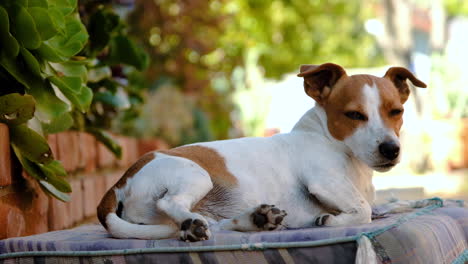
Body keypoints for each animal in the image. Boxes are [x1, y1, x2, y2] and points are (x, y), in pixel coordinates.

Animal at [97, 62, 426, 241]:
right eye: (354, 115)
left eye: (396, 111)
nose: (391, 149)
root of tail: (119, 182)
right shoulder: (324, 181)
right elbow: (364, 210)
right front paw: (330, 220)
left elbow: (385, 205)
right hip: (194, 176)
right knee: (172, 204)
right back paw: (194, 226)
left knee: (219, 226)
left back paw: (254, 219)